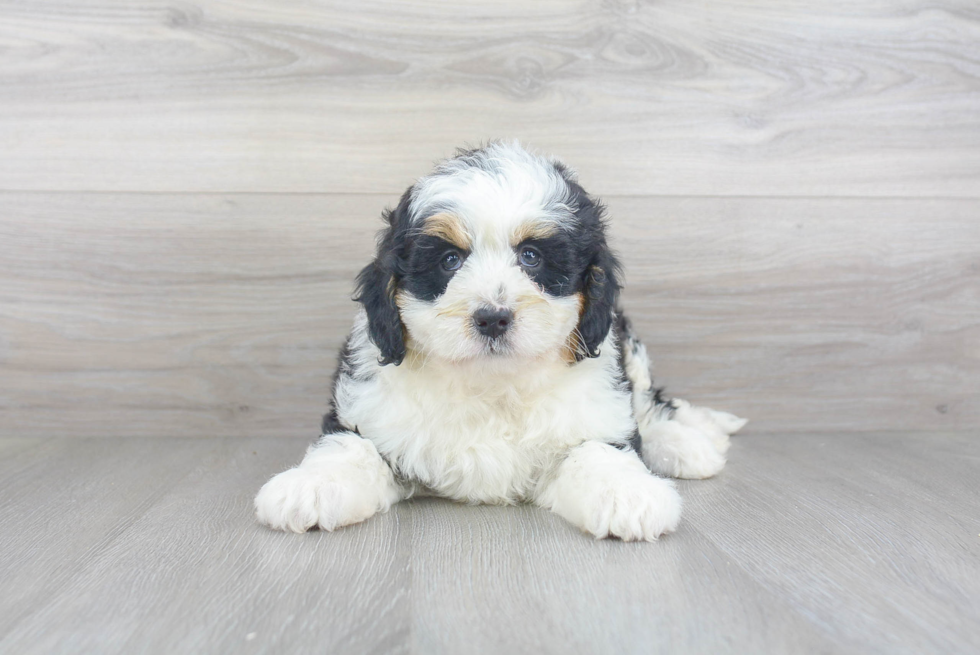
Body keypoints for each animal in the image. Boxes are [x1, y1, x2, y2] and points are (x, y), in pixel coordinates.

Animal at [256, 144, 748, 544]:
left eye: (531, 256)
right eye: (449, 260)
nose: (493, 317)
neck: (492, 385)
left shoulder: (598, 404)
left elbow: (599, 449)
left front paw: (627, 494)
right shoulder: (369, 410)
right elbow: (348, 448)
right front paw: (310, 487)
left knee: (651, 403)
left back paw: (685, 444)